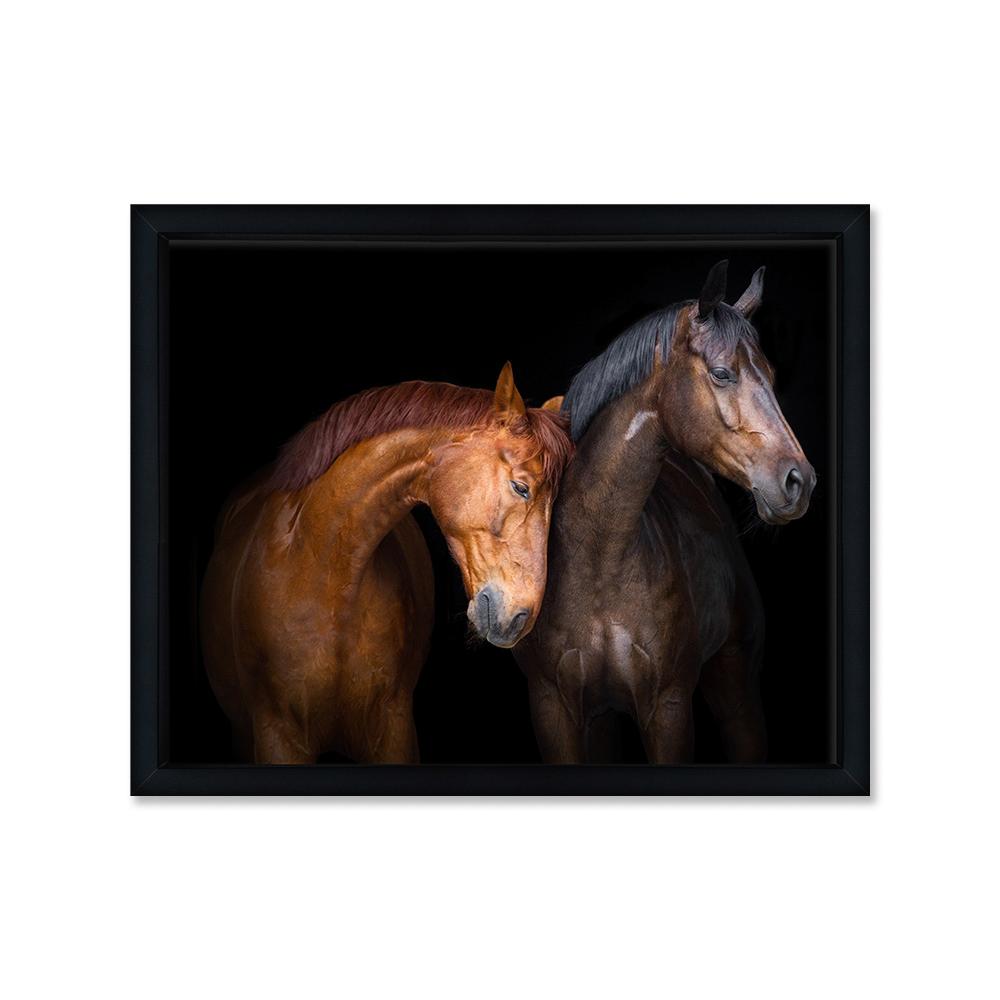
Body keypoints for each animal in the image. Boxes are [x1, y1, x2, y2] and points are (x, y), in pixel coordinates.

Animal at [513, 261, 816, 764]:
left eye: (772, 375)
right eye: (722, 373)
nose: (799, 481)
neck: (599, 561)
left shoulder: (668, 709)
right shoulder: (553, 709)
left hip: (737, 694)